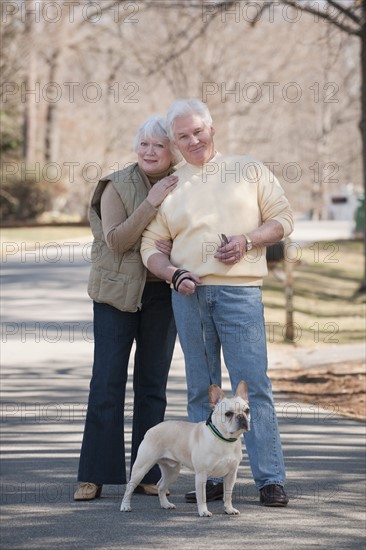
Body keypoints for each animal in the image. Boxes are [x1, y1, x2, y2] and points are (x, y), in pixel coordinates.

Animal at [120, 384, 249, 516]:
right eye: (228, 414)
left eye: (247, 411)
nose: (241, 416)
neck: (224, 439)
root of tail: (152, 429)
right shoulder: (201, 475)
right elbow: (202, 496)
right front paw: (203, 511)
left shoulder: (231, 475)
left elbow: (228, 494)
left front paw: (229, 509)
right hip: (142, 468)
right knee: (129, 487)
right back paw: (125, 506)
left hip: (172, 471)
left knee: (161, 486)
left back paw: (165, 504)